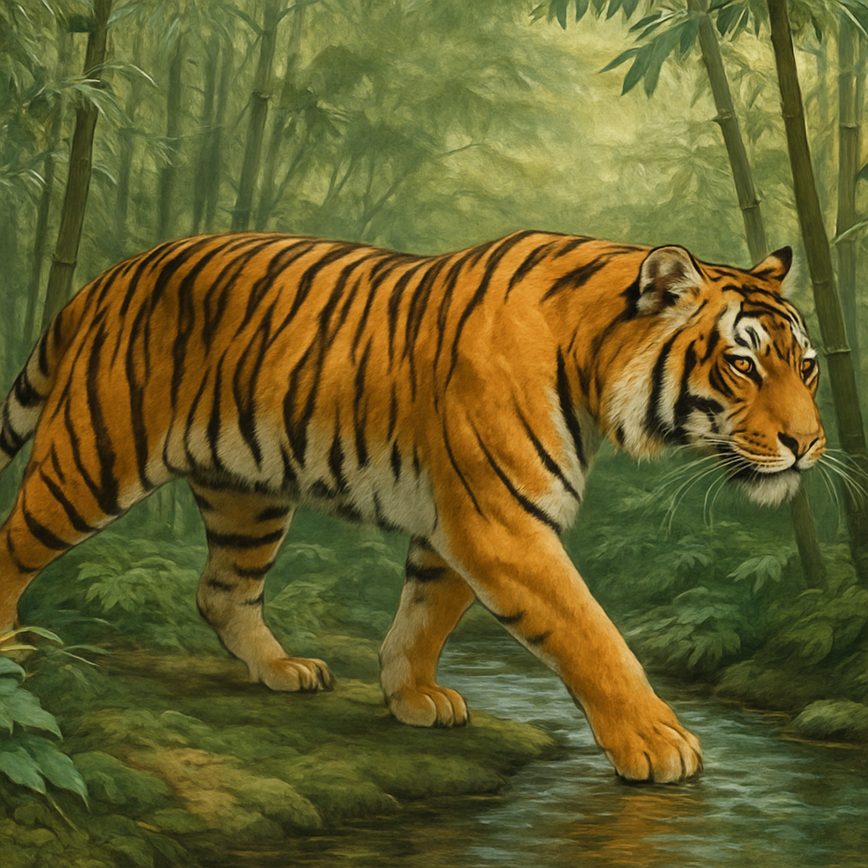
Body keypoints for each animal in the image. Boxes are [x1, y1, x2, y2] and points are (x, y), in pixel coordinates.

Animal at [0, 230, 824, 783]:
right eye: (743, 364)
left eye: (808, 366)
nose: (810, 444)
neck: (592, 368)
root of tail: (111, 273)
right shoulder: (502, 524)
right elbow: (592, 636)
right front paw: (658, 745)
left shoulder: (459, 521)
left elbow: (424, 615)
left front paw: (411, 696)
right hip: (92, 459)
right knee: (13, 541)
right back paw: (10, 652)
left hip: (248, 494)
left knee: (221, 590)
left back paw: (284, 670)